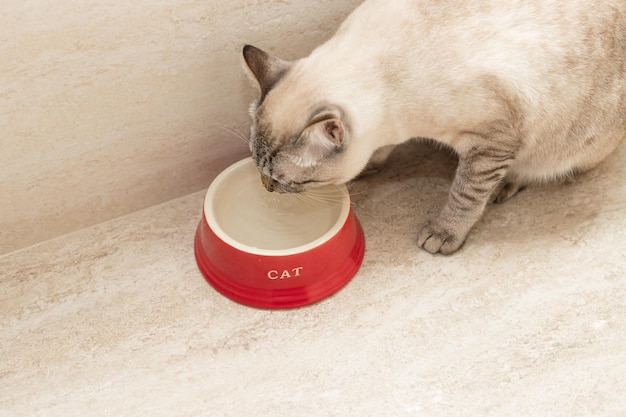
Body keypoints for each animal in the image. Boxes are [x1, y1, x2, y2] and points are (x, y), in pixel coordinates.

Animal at [240, 0, 624, 254]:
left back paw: (508, 183)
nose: (266, 187)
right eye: (261, 171)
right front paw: (367, 168)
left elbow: (465, 195)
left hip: (561, 146)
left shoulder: (491, 142)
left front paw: (444, 233)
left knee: (535, 170)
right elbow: (380, 150)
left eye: (288, 182)